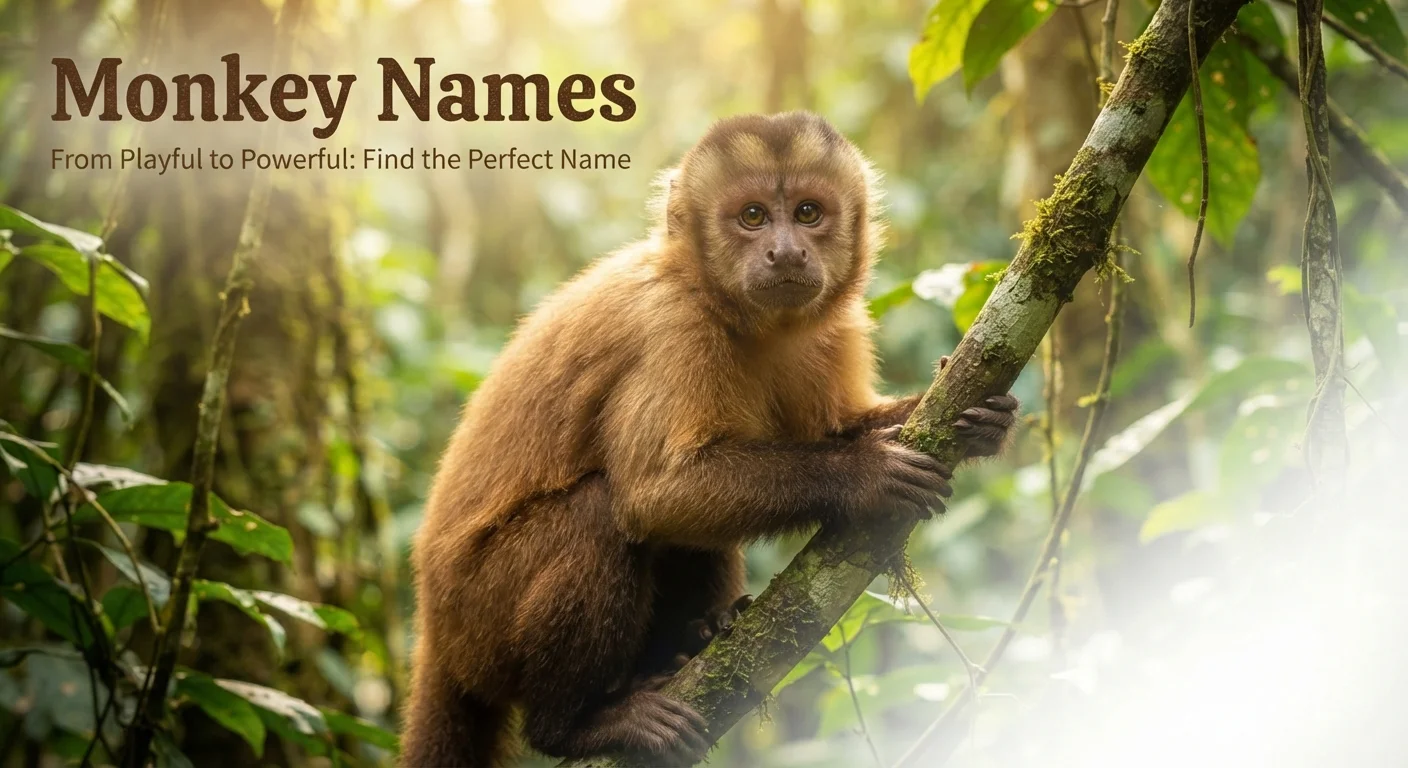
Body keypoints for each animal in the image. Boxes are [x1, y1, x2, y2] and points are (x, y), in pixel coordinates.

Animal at [401, 112, 1019, 768]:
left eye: (807, 213)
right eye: (752, 216)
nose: (785, 251)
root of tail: (435, 631)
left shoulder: (835, 326)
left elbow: (834, 427)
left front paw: (985, 424)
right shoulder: (673, 327)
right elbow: (656, 493)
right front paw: (864, 475)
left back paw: (695, 639)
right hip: (479, 617)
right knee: (600, 514)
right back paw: (574, 724)